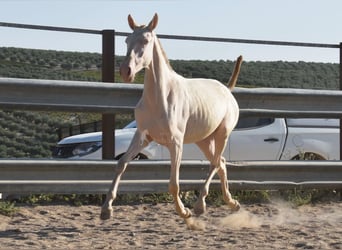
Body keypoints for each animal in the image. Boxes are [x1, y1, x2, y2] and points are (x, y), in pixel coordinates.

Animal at [101, 13, 243, 229]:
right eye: (126, 40)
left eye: (146, 40)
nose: (126, 71)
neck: (159, 98)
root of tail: (227, 90)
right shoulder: (143, 137)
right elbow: (121, 164)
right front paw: (106, 210)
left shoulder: (175, 142)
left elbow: (174, 184)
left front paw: (185, 213)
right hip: (204, 140)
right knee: (222, 163)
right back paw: (231, 203)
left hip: (223, 134)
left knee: (215, 163)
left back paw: (200, 206)